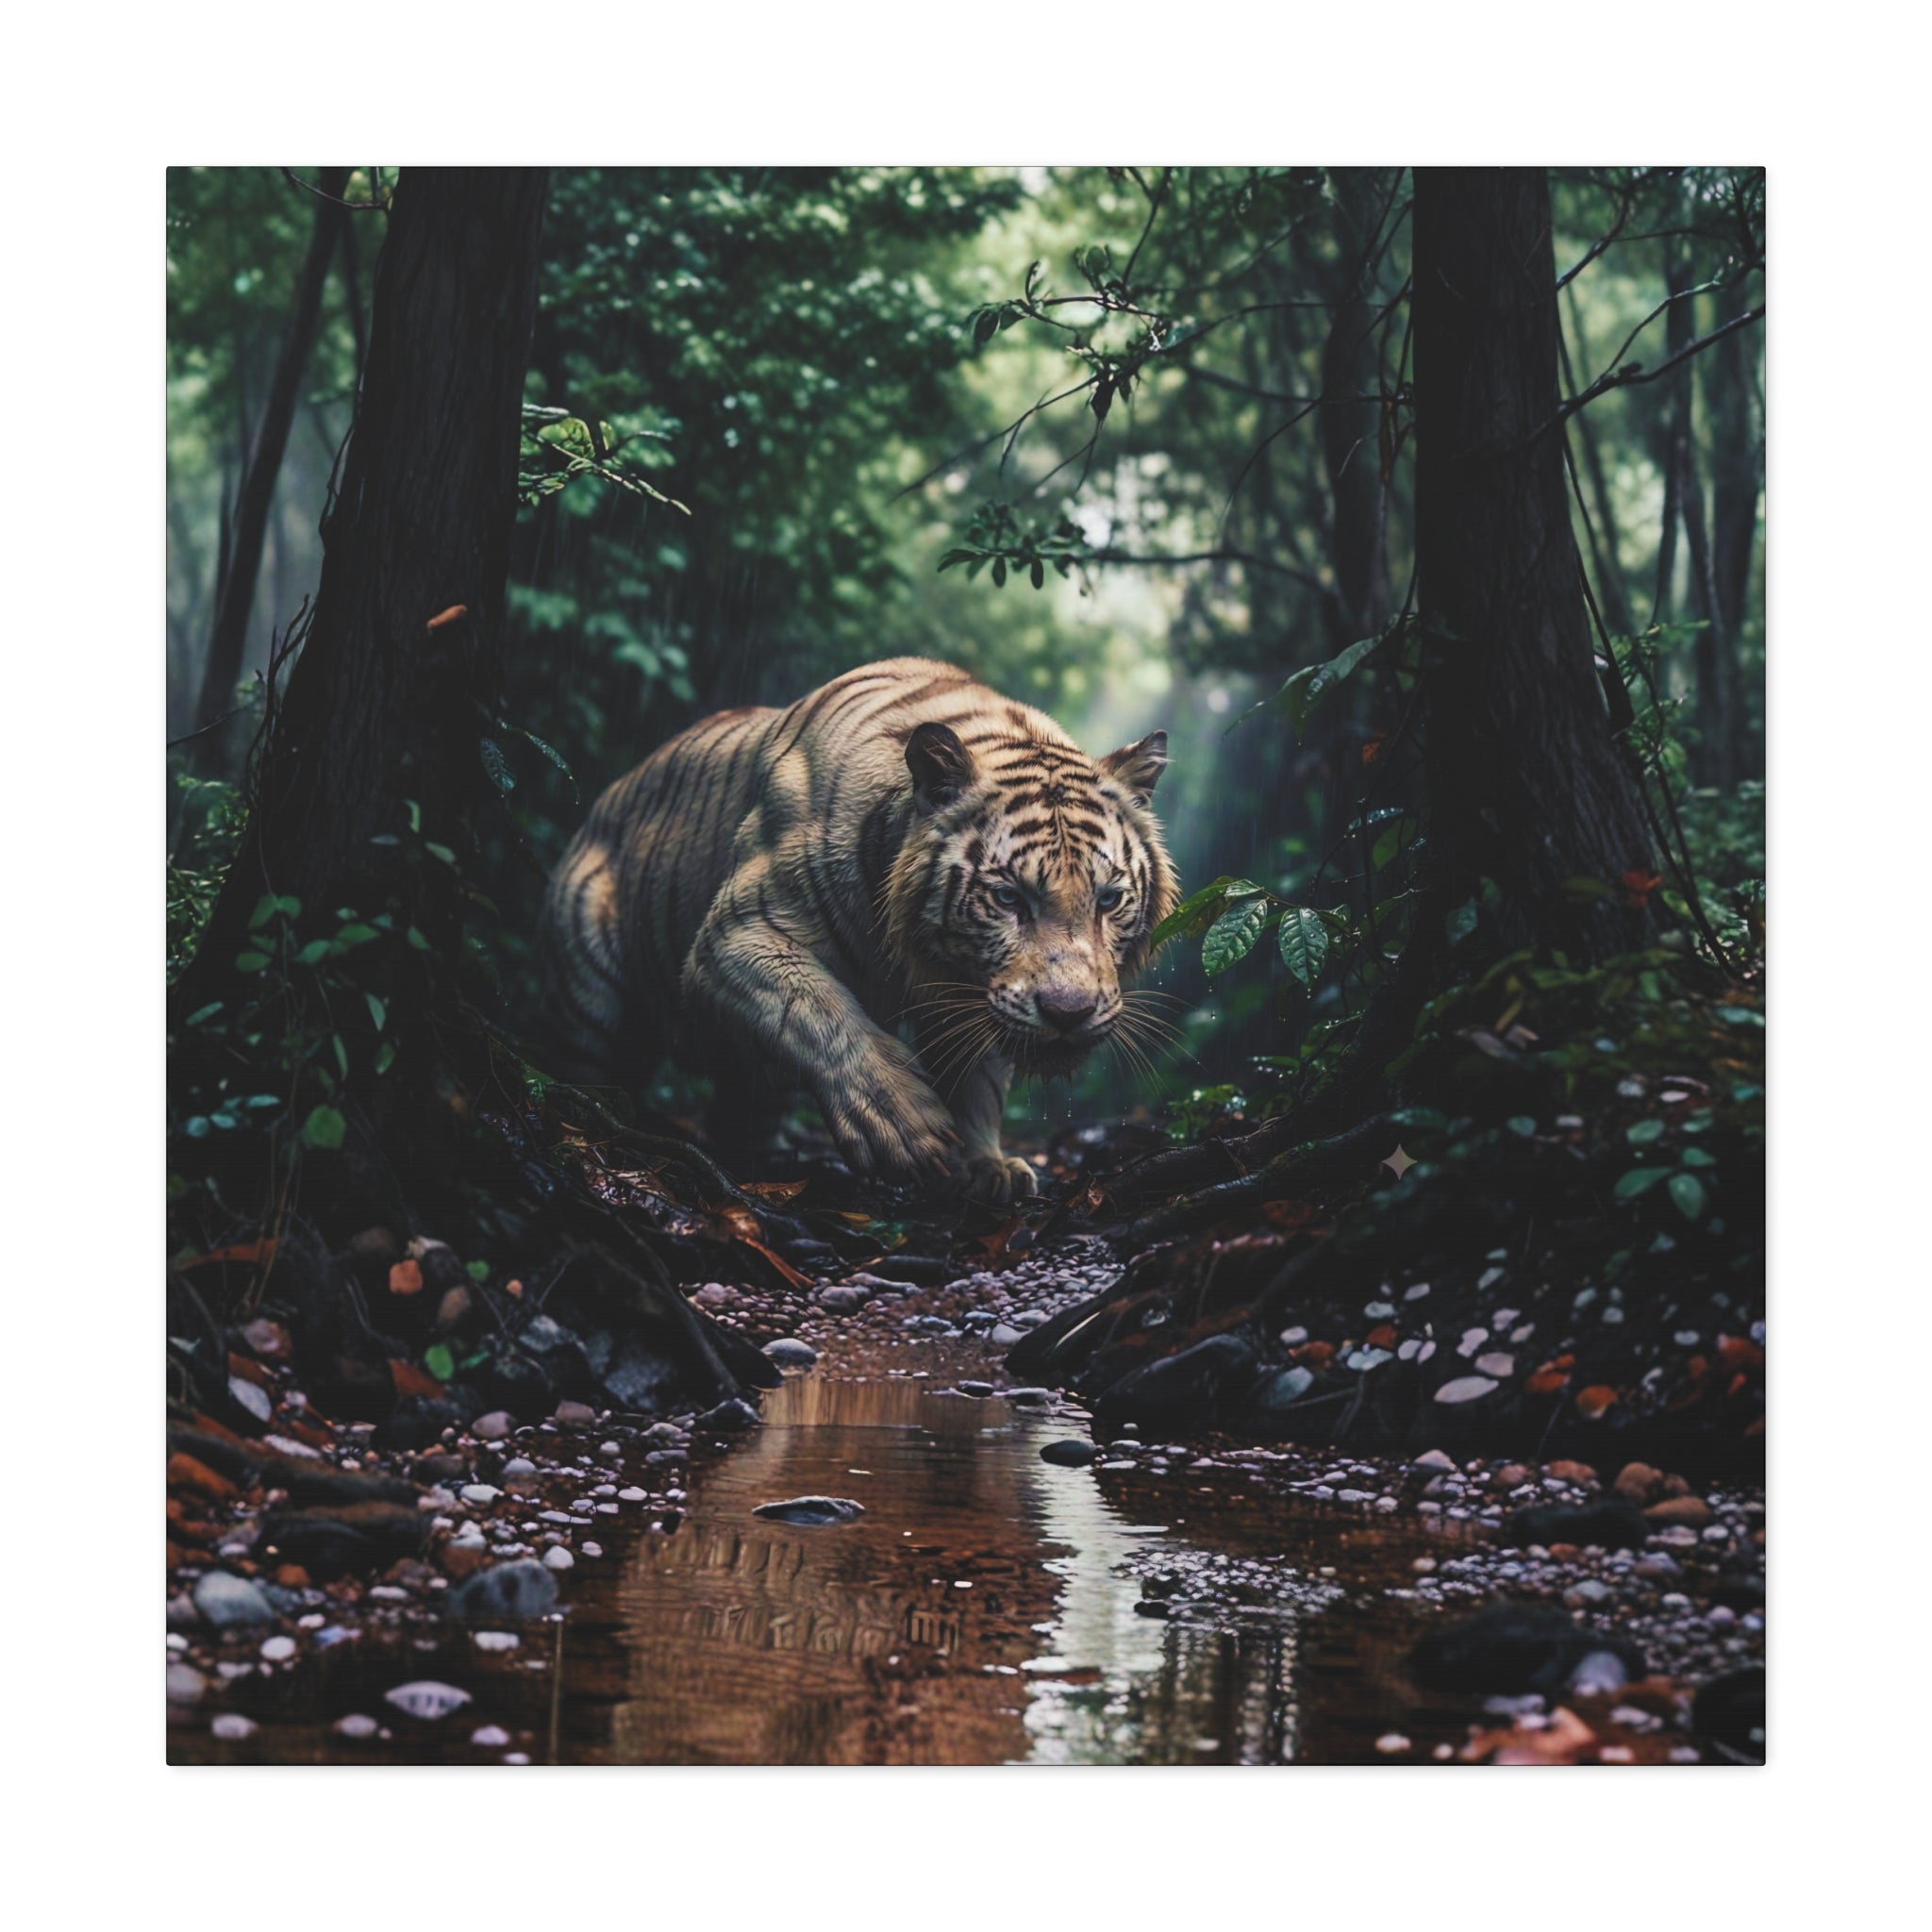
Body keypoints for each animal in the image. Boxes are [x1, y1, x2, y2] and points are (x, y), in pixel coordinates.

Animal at [540, 657, 1177, 1201]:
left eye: (1109, 899)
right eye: (1008, 898)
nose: (1069, 1013)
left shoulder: (979, 996)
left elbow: (979, 1079)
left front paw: (986, 1164)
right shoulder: (736, 934)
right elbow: (815, 1010)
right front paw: (904, 1124)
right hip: (588, 1000)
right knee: (582, 1072)